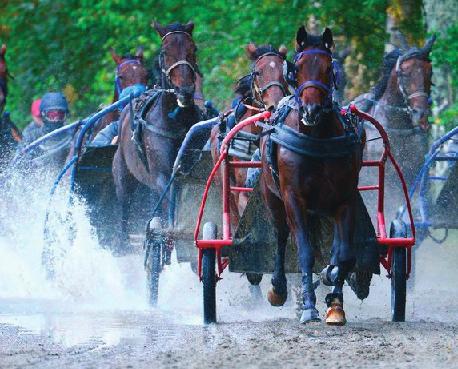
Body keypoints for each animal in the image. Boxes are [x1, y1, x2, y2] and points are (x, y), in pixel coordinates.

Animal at [113, 21, 202, 252]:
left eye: (193, 49)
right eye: (164, 52)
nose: (185, 90)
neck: (175, 121)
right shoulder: (162, 175)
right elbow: (171, 201)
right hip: (123, 177)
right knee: (124, 206)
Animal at [262, 27, 364, 324]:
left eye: (329, 67)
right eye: (297, 68)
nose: (311, 110)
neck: (317, 138)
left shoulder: (344, 199)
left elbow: (344, 255)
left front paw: (335, 302)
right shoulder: (293, 197)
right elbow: (305, 252)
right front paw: (308, 306)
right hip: (272, 197)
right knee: (281, 236)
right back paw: (279, 288)